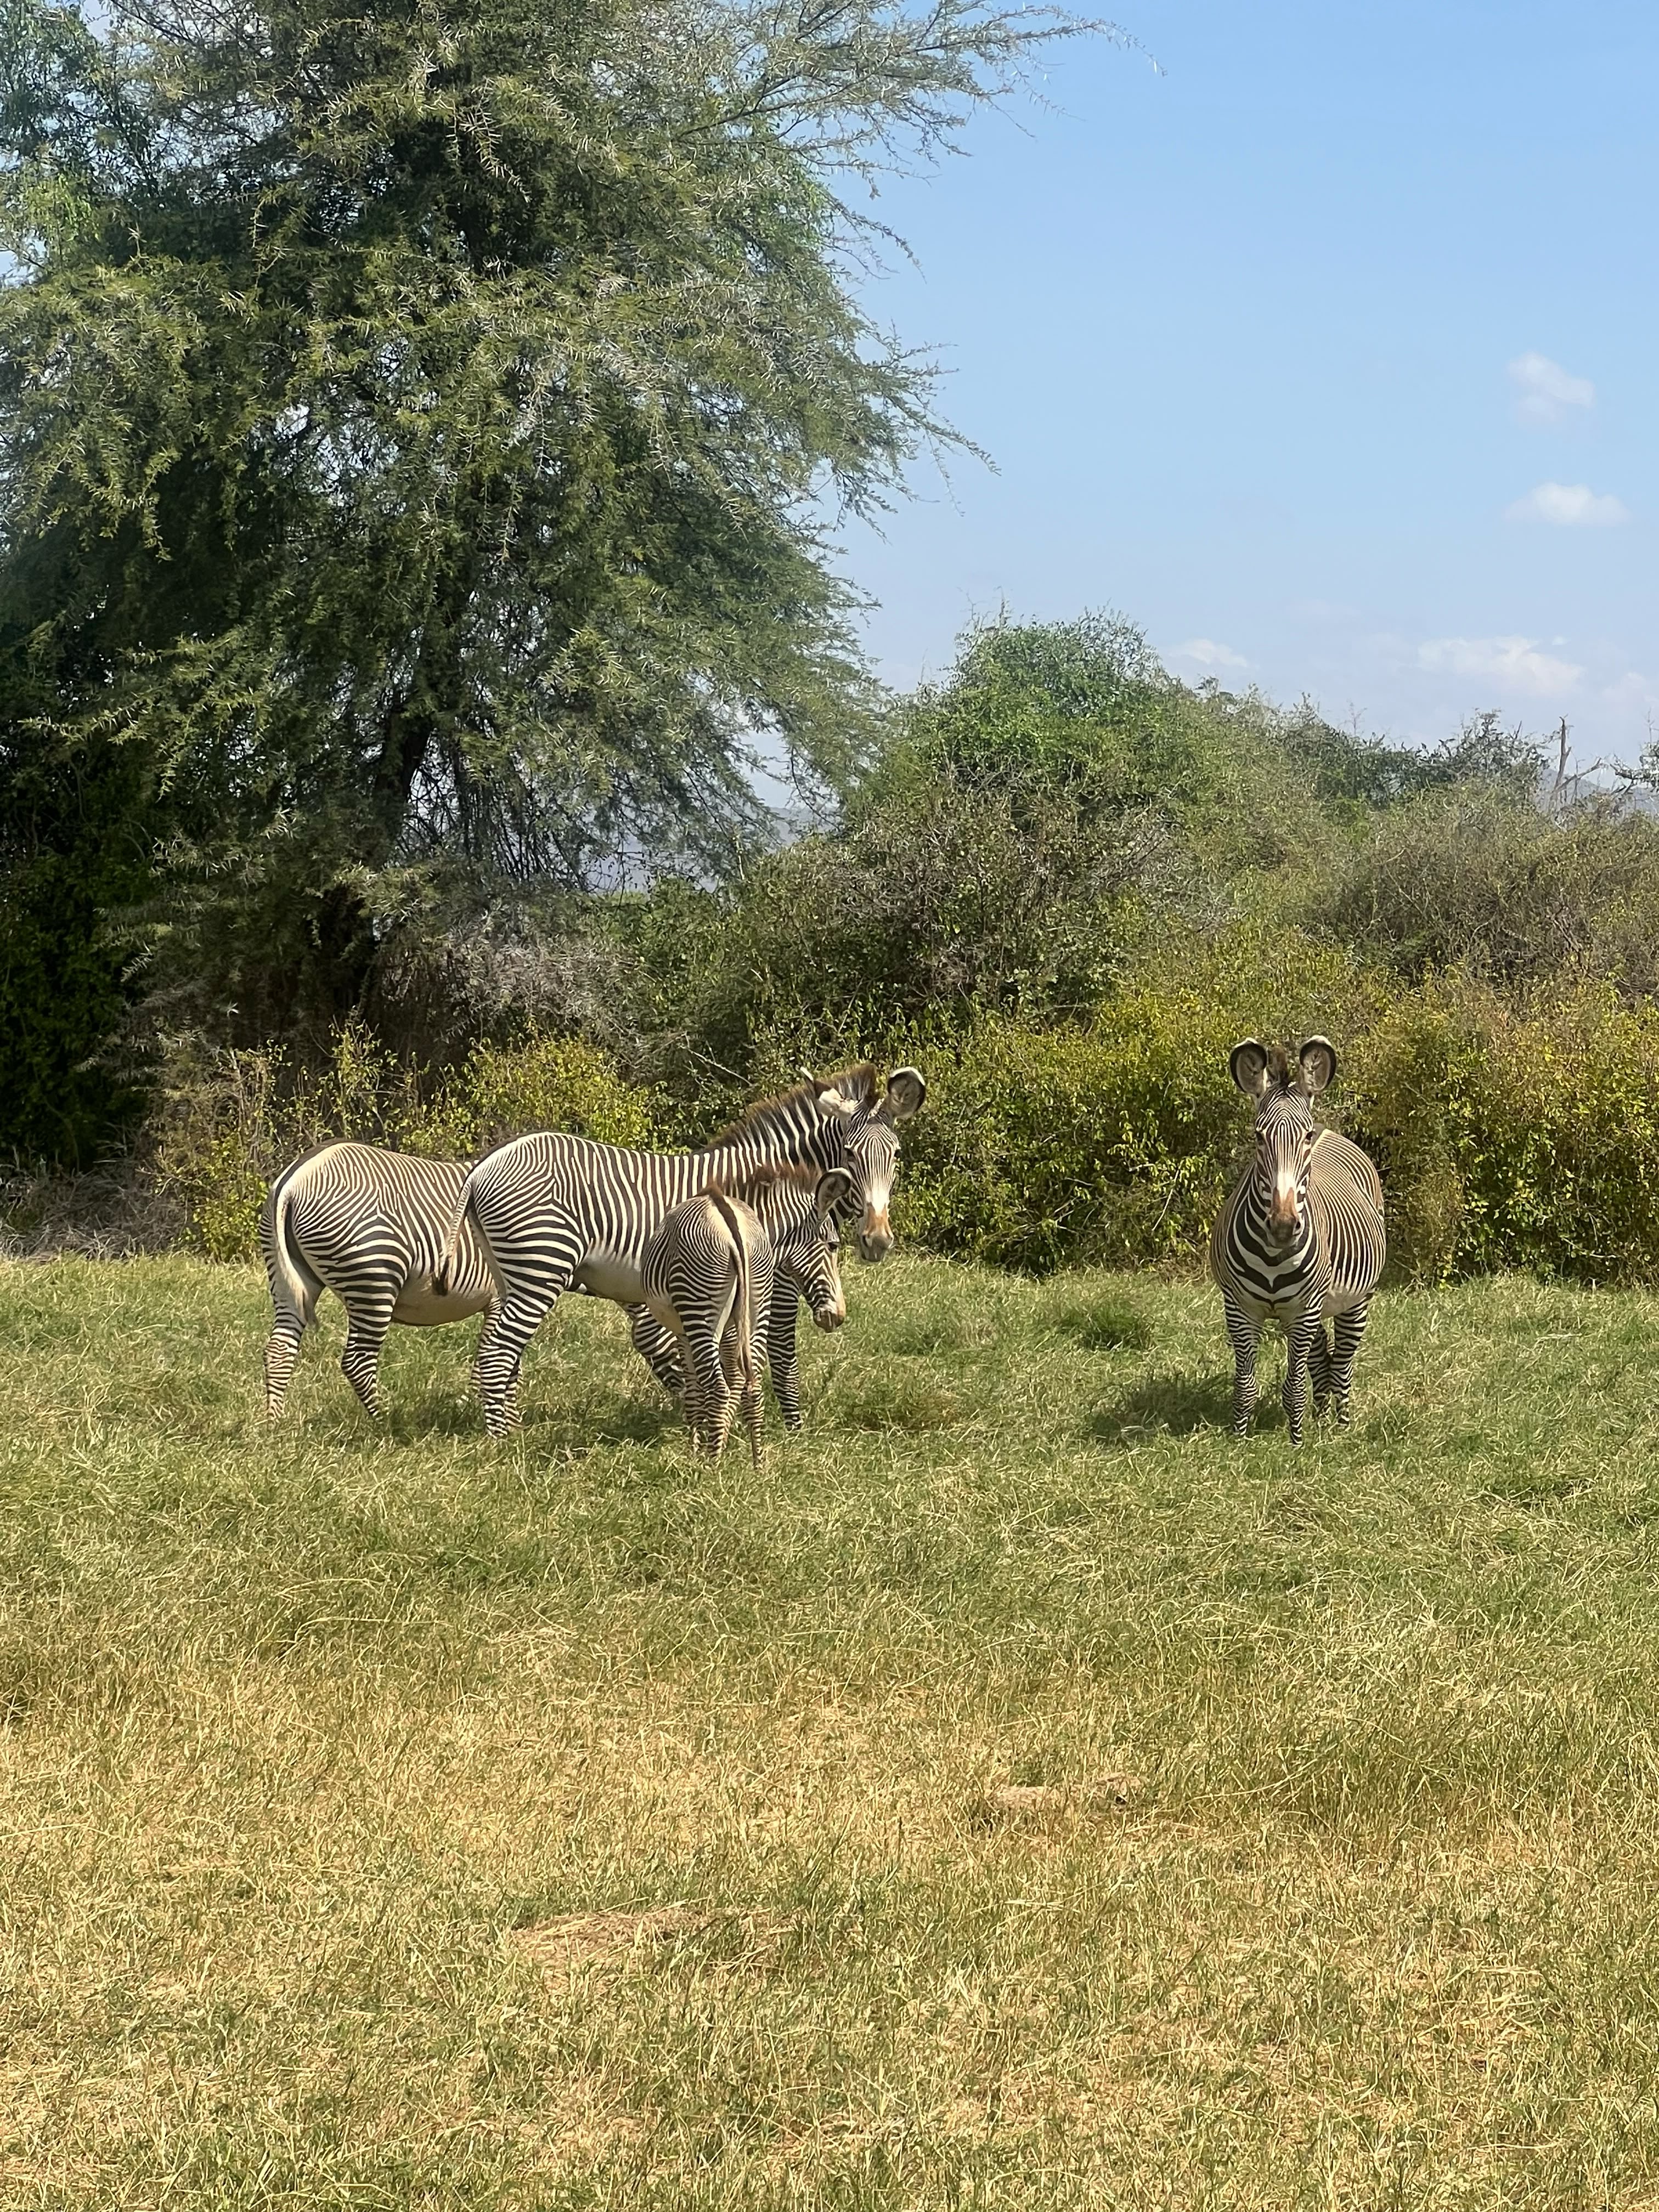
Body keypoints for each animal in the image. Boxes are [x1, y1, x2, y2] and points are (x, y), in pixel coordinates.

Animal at [260, 1143, 498, 1420]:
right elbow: (494, 1357)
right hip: (374, 1281)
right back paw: (385, 1421)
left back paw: (274, 1422)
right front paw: (480, 1408)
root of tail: (294, 1179)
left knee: (279, 1349)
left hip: (288, 1281)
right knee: (357, 1362)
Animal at [638, 1165, 856, 1460]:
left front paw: (696, 1448)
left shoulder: (685, 1330)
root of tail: (735, 1230)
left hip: (701, 1311)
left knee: (717, 1387)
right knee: (752, 1385)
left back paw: (710, 1464)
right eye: (833, 1246)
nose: (839, 1316)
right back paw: (757, 1461)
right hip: (757, 1304)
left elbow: (695, 1389)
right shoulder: (728, 1327)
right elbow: (729, 1382)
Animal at [1209, 1037, 1385, 1445]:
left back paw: (1341, 1425)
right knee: (1322, 1359)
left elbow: (1293, 1386)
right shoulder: (1239, 1308)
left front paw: (1296, 1443)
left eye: (1304, 1137)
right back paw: (1320, 1418)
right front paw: (1240, 1441)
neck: (1275, 1255)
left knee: (1344, 1363)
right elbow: (1246, 1385)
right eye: (1258, 1137)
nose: (1283, 1226)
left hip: (1356, 1301)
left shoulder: (1304, 1310)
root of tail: (1330, 1131)